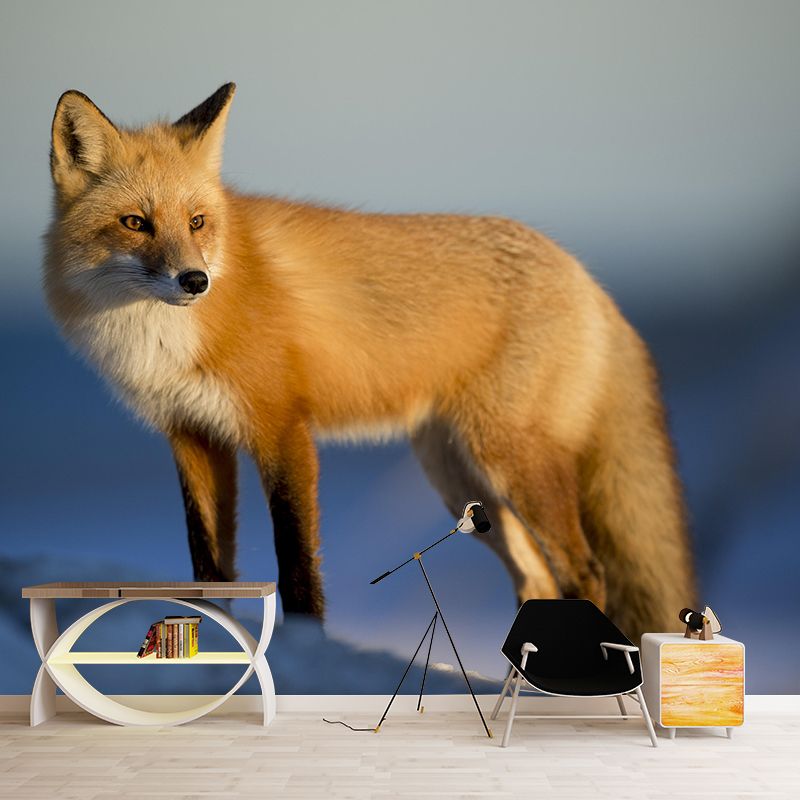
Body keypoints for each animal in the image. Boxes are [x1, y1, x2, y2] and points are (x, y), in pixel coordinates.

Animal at [43, 83, 696, 638]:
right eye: (135, 222)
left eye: (197, 222)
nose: (195, 280)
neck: (163, 339)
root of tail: (586, 276)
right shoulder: (192, 436)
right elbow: (208, 568)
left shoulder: (282, 430)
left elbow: (297, 566)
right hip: (461, 482)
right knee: (536, 576)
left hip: (512, 460)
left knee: (584, 570)